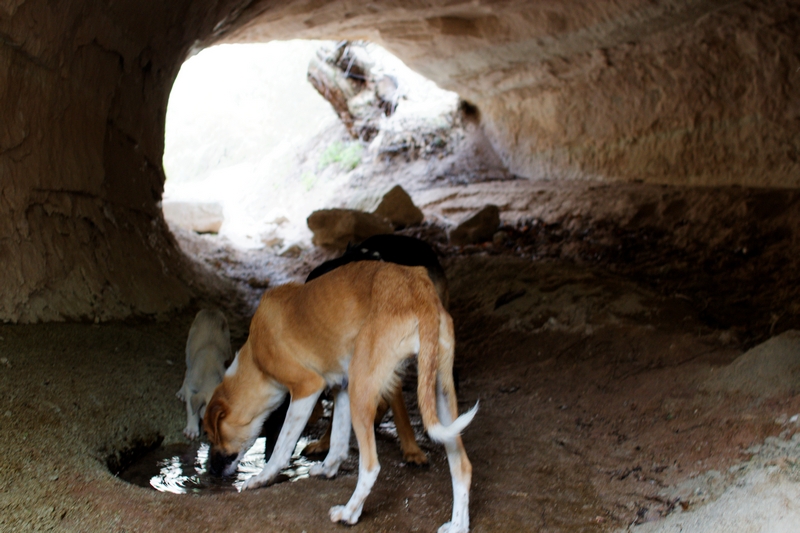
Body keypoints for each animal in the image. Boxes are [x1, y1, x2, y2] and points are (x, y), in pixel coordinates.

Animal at [177, 310, 231, 438]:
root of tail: (211, 310)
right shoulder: (191, 387)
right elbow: (191, 409)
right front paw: (192, 429)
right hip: (189, 350)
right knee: (187, 372)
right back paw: (181, 393)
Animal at [205, 262, 476, 532]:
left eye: (210, 435)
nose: (211, 472)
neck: (255, 359)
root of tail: (417, 289)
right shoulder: (342, 388)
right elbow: (337, 442)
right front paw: (328, 469)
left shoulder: (307, 388)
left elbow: (281, 449)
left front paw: (262, 478)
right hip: (439, 393)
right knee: (462, 466)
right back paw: (458, 525)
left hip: (362, 390)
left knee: (371, 467)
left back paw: (349, 513)